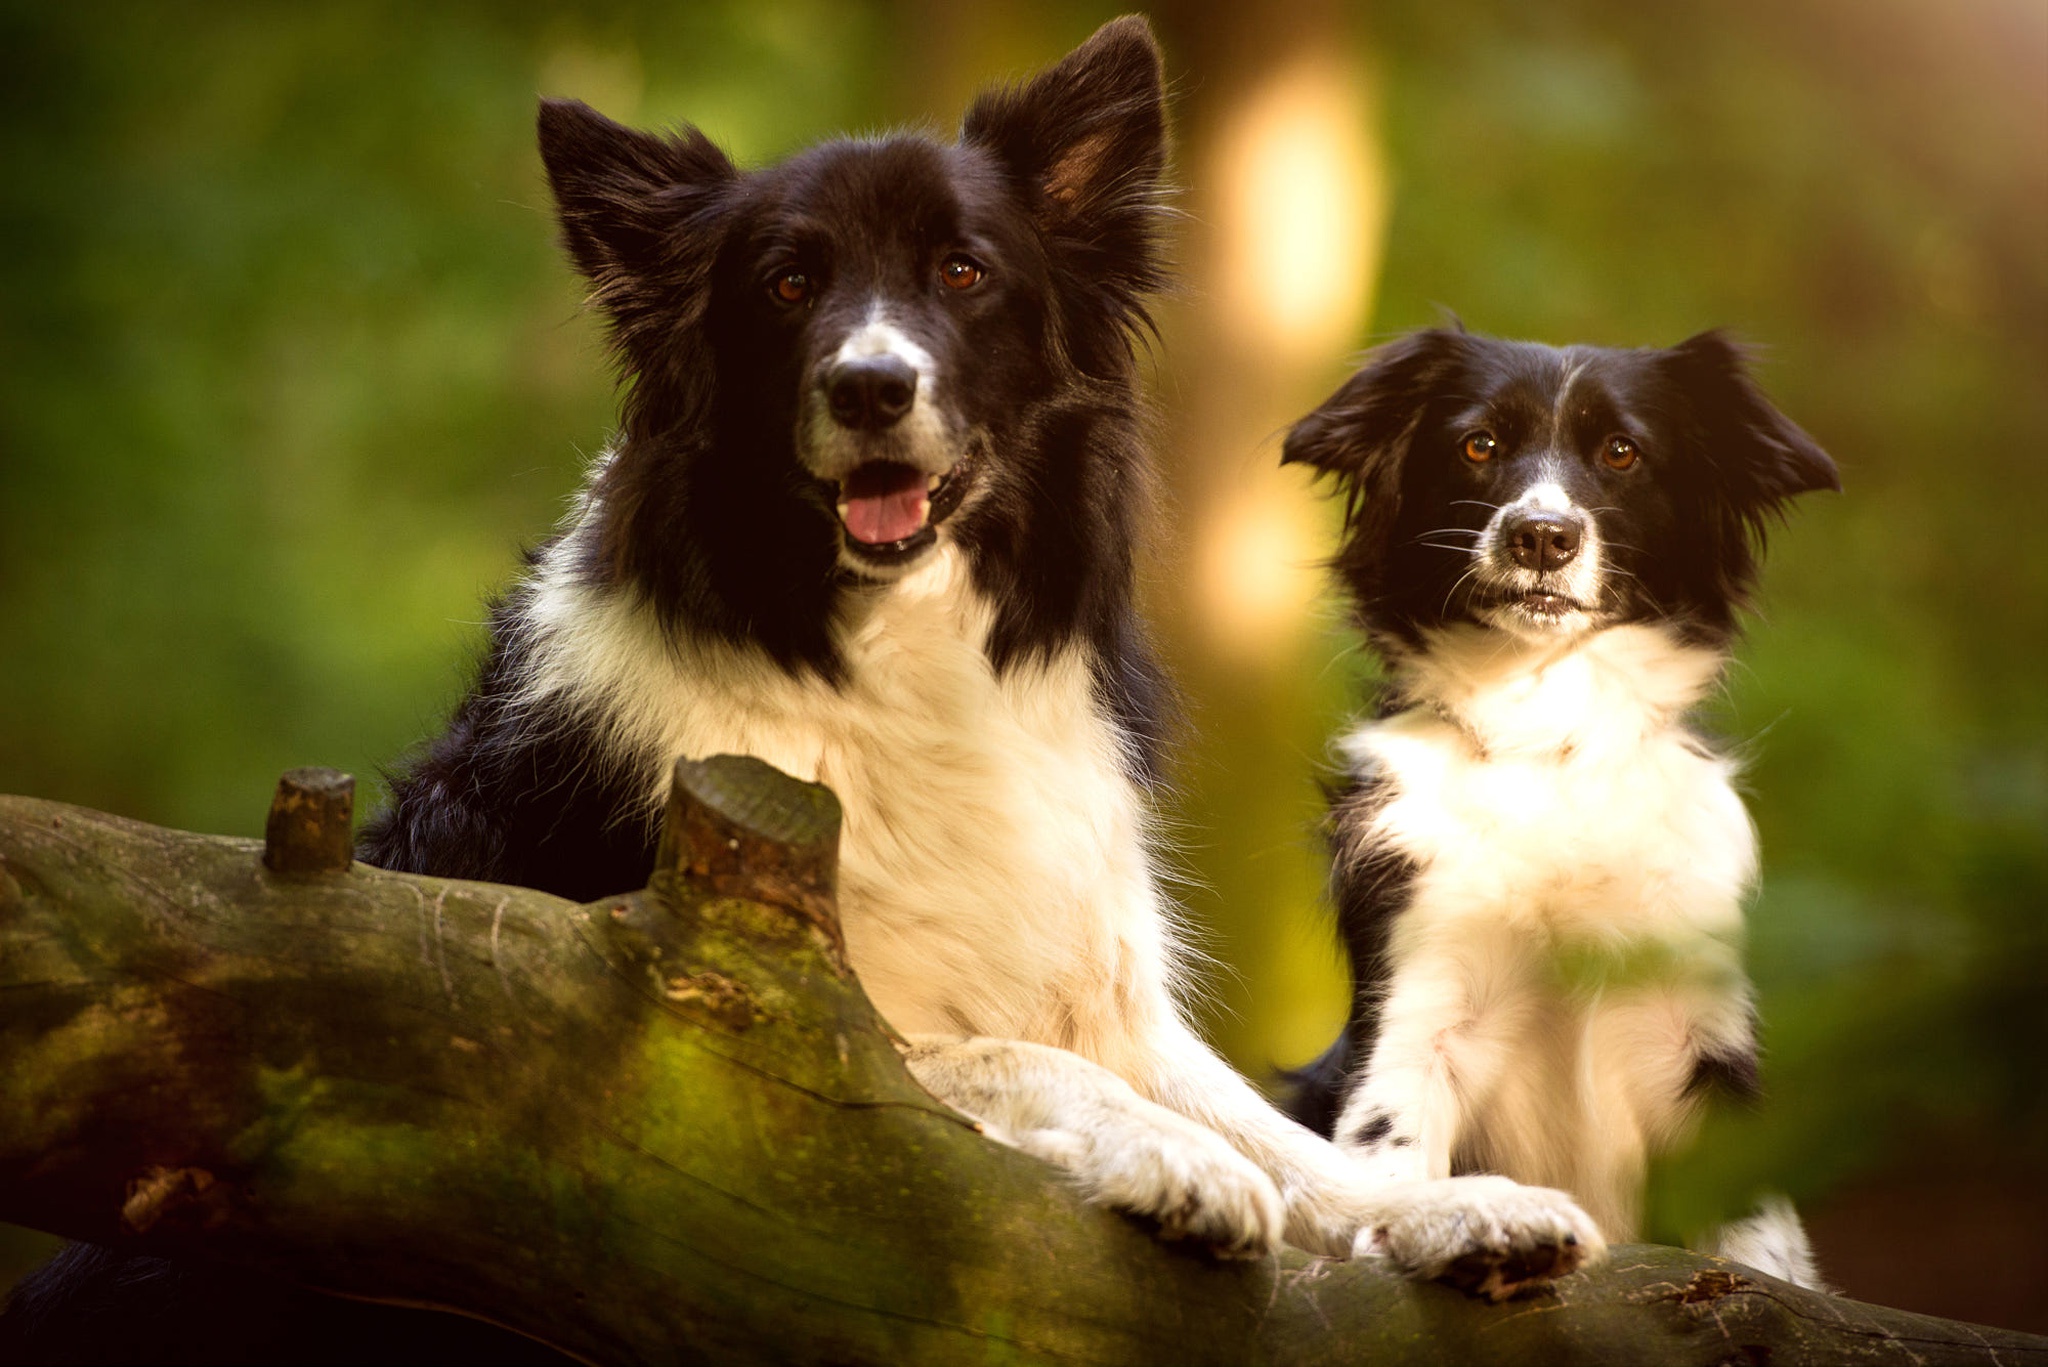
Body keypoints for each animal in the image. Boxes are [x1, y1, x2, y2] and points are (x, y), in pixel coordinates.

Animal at [348, 18, 1597, 1295]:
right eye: (786, 284)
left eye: (962, 271)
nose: (869, 385)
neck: (897, 649)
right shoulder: (773, 1017)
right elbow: (1015, 1057)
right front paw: (1174, 1158)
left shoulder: (1101, 980)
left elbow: (1276, 1131)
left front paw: (1439, 1207)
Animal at [1277, 325, 1843, 1287]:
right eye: (1478, 445)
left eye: (1621, 451)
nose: (1542, 534)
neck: (1550, 740)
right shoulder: (1416, 1002)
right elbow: (1389, 1147)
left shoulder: (1706, 1042)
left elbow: (1757, 1240)